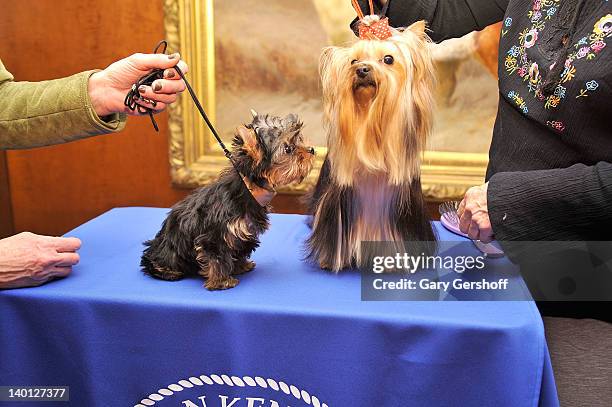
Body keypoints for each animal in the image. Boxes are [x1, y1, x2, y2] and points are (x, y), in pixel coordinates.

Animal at [142, 111, 316, 290]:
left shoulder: (244, 231)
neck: (249, 189)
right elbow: (217, 257)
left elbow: (239, 249)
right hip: (169, 247)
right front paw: (221, 281)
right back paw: (166, 270)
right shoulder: (214, 235)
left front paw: (240, 266)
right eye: (288, 149)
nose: (312, 149)